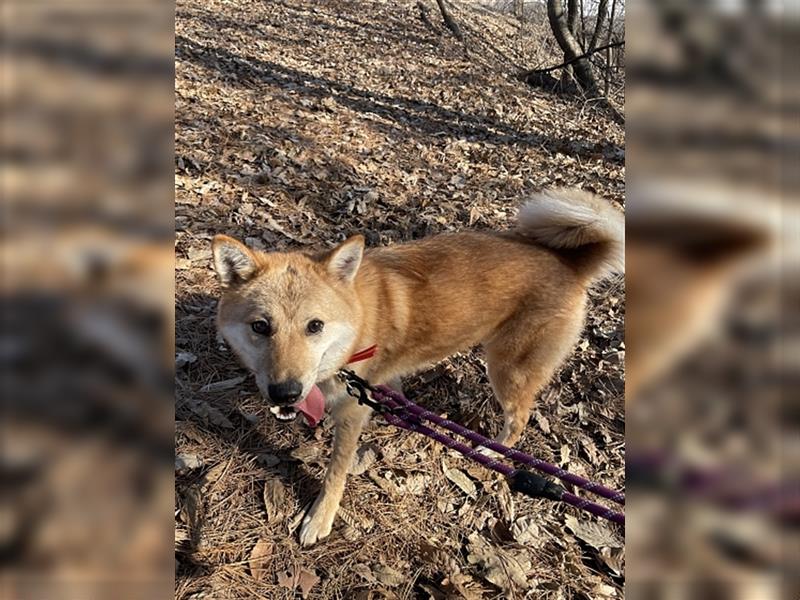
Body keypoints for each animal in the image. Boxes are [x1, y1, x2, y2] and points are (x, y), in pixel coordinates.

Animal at [212, 190, 624, 548]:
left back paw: (491, 452)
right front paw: (400, 413)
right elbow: (394, 392)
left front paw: (320, 518)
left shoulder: (350, 414)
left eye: (315, 326)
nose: (286, 393)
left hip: (507, 370)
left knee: (518, 420)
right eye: (260, 327)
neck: (358, 319)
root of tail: (571, 263)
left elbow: (335, 473)